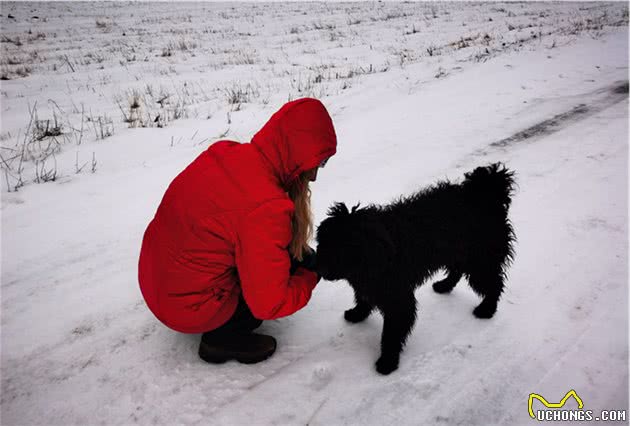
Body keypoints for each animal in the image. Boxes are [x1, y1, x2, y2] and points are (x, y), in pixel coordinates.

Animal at [318, 161, 516, 374]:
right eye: (324, 243)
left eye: (343, 248)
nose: (319, 268)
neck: (378, 253)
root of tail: (485, 192)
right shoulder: (368, 283)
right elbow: (363, 298)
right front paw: (357, 314)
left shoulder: (397, 297)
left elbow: (391, 332)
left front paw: (388, 361)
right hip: (458, 251)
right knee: (458, 270)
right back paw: (444, 285)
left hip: (480, 258)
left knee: (494, 283)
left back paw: (486, 309)